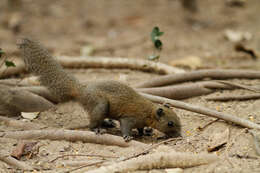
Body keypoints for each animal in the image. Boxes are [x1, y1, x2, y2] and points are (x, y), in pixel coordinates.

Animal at [16, 37, 181, 141]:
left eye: (178, 118)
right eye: (170, 123)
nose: (179, 135)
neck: (148, 112)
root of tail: (81, 90)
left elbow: (140, 129)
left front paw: (145, 132)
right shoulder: (130, 118)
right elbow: (126, 127)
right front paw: (128, 136)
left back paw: (107, 123)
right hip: (101, 105)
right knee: (91, 123)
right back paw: (97, 129)